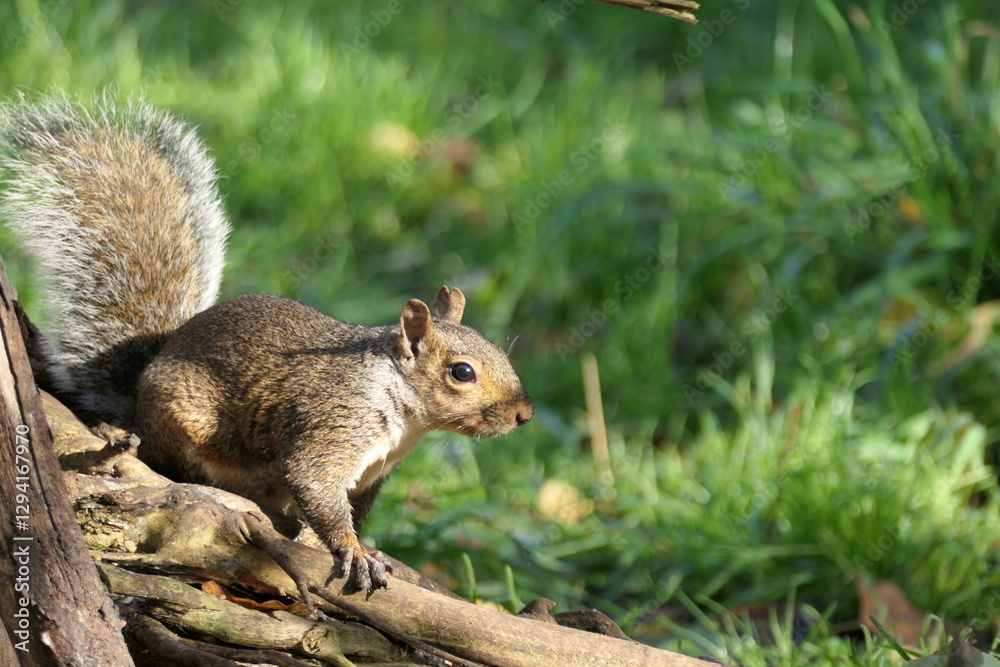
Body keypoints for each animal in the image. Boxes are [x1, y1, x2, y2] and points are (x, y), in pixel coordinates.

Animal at [0, 94, 534, 594]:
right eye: (462, 372)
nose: (524, 414)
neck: (399, 407)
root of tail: (137, 400)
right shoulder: (334, 427)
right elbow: (316, 486)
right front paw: (354, 552)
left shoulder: (371, 477)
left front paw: (355, 545)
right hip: (183, 426)